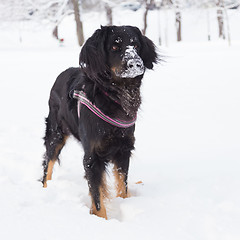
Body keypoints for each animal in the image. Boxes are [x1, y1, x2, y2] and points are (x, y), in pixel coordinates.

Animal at [41, 25, 158, 218]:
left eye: (136, 45)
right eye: (114, 47)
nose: (135, 64)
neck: (113, 96)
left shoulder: (123, 149)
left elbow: (122, 184)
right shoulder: (92, 156)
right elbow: (96, 196)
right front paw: (101, 218)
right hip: (55, 132)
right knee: (48, 163)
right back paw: (45, 188)